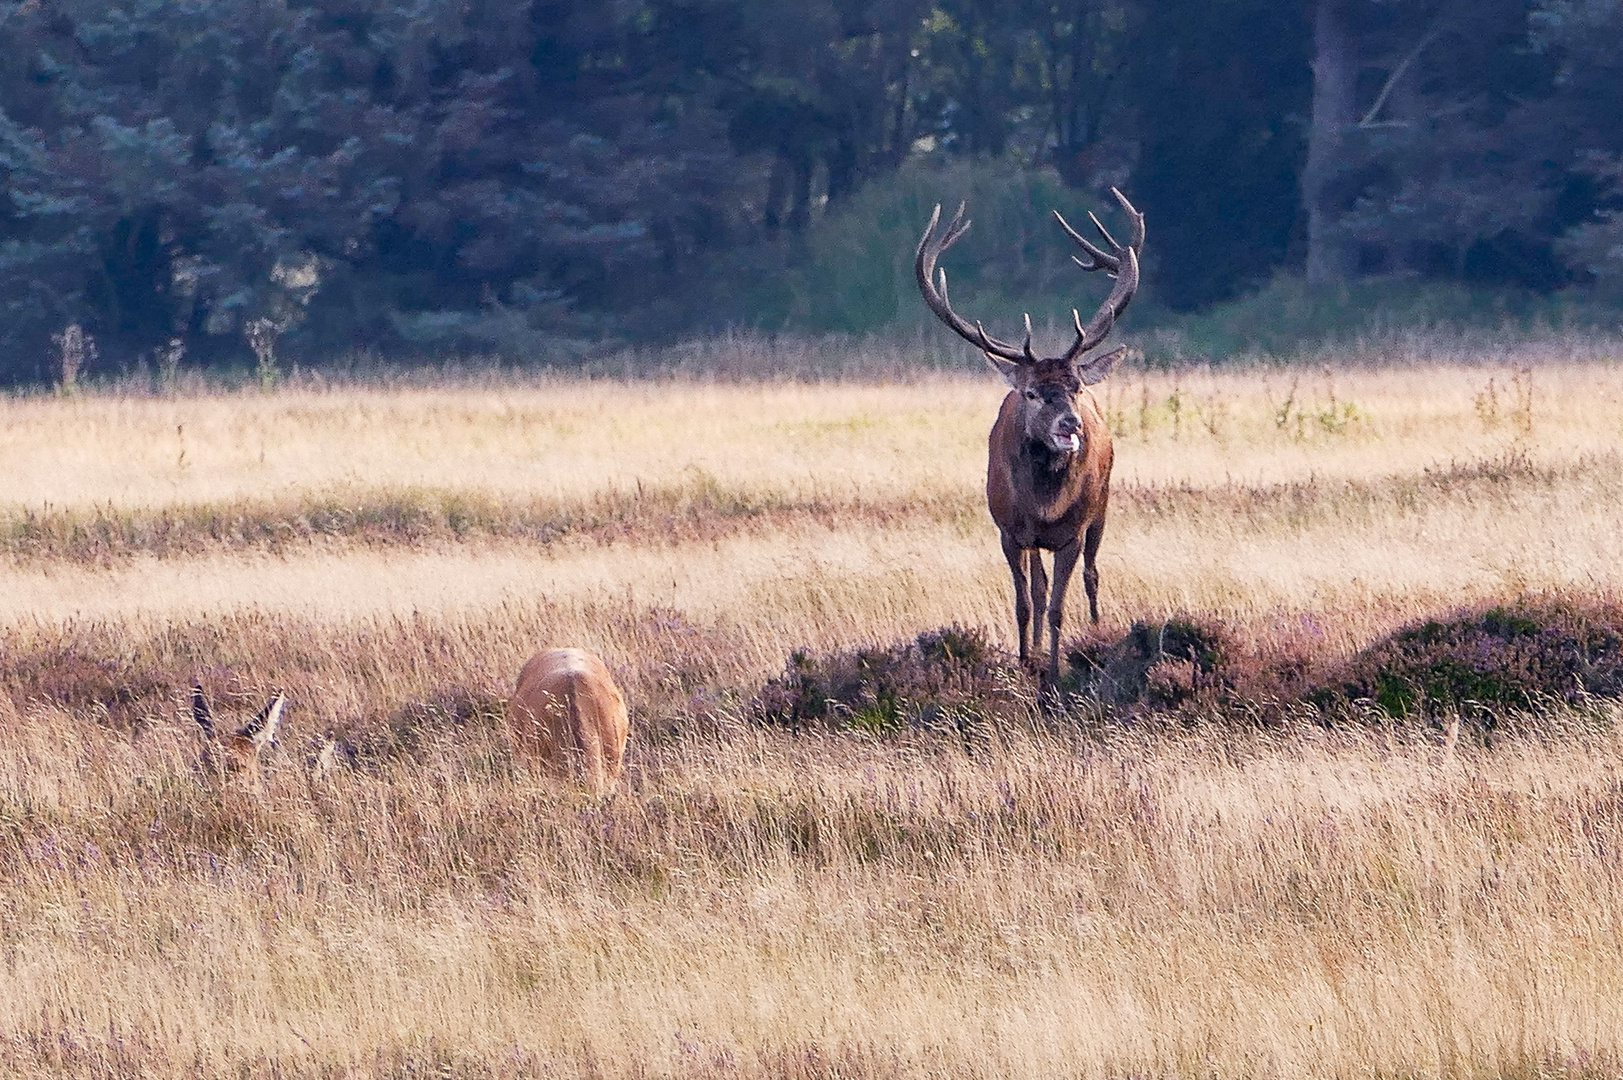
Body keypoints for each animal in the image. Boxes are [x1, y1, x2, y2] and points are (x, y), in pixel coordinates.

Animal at [921, 187, 1149, 682]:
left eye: (1076, 386)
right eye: (1030, 393)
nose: (1071, 424)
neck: (1045, 505)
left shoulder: (1071, 532)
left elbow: (1059, 605)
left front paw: (1054, 674)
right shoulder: (1009, 531)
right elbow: (1026, 603)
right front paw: (1026, 661)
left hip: (1102, 506)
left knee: (1092, 575)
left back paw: (1095, 631)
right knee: (1040, 590)